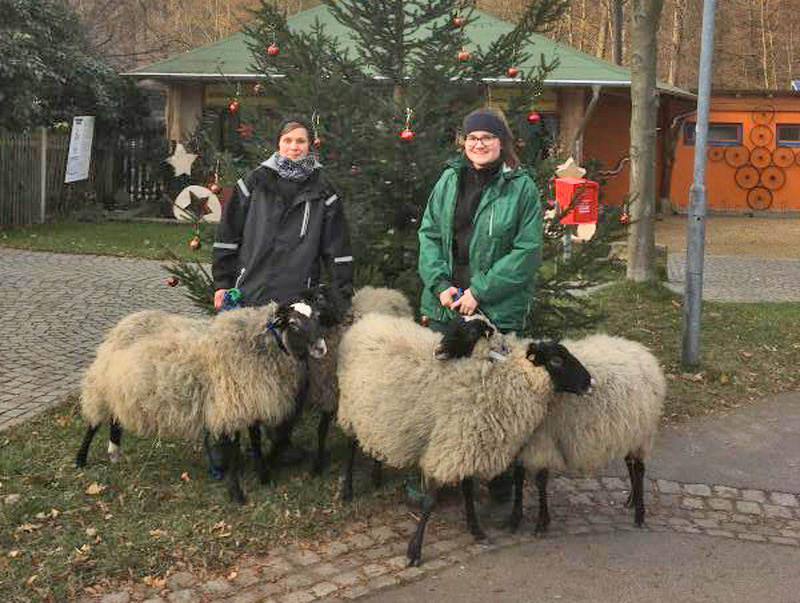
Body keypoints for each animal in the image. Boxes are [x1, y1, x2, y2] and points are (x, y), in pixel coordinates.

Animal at [75, 298, 324, 504]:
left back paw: (114, 453)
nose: (321, 348)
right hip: (102, 386)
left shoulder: (251, 401)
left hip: (122, 388)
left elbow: (255, 442)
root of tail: (123, 324)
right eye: (293, 323)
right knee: (93, 423)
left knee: (115, 418)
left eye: (316, 317)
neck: (258, 344)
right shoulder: (228, 405)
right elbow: (232, 450)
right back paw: (81, 459)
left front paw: (264, 478)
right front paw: (236, 493)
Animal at [334, 314, 592, 568]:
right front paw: (414, 551)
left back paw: (376, 475)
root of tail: (369, 319)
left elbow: (467, 489)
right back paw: (347, 490)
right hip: (349, 407)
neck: (498, 380)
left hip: (375, 415)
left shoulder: (467, 444)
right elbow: (431, 501)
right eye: (556, 360)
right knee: (350, 445)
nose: (589, 381)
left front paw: (476, 529)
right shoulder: (450, 445)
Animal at [512, 336, 668, 532]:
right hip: (628, 430)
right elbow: (518, 476)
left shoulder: (543, 441)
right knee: (630, 463)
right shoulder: (521, 442)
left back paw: (639, 515)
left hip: (642, 432)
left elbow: (540, 480)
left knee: (639, 468)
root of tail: (643, 352)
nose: (589, 382)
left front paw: (541, 523)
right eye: (555, 361)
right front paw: (515, 518)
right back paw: (631, 500)